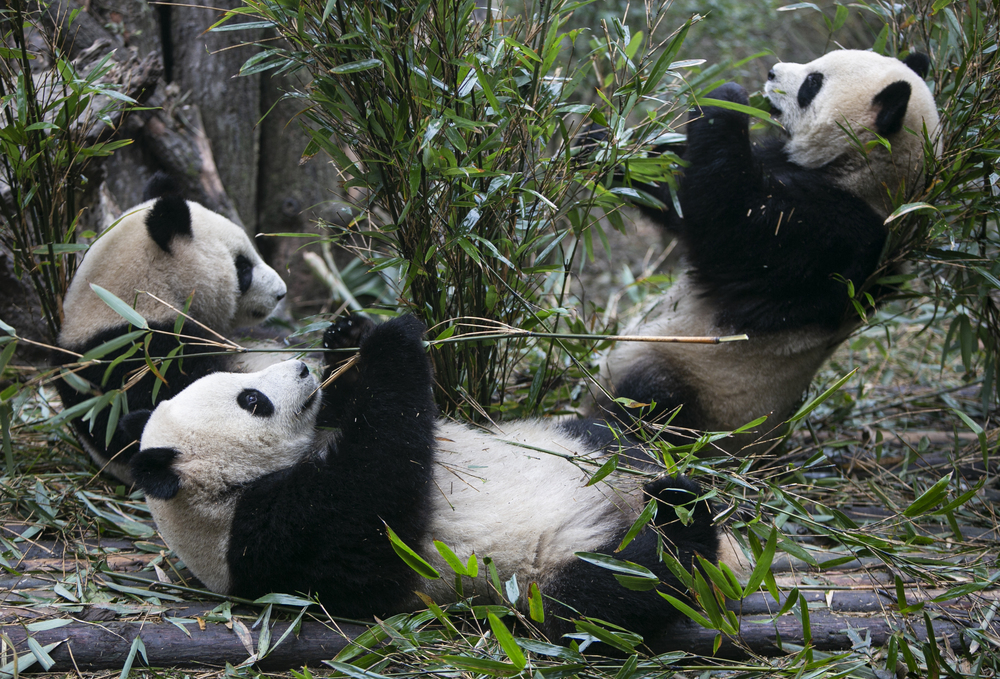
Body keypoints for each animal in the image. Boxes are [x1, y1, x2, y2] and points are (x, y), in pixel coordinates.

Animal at [129, 314, 732, 644]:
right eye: (251, 399)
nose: (300, 368)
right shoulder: (273, 535)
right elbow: (380, 482)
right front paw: (392, 339)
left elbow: (357, 413)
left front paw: (349, 335)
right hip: (541, 576)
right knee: (622, 589)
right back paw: (683, 523)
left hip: (579, 445)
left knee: (606, 440)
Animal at [592, 51, 936, 446]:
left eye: (812, 83)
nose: (771, 72)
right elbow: (676, 189)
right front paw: (600, 144)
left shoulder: (833, 236)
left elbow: (726, 217)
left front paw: (726, 96)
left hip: (703, 386)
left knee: (652, 403)